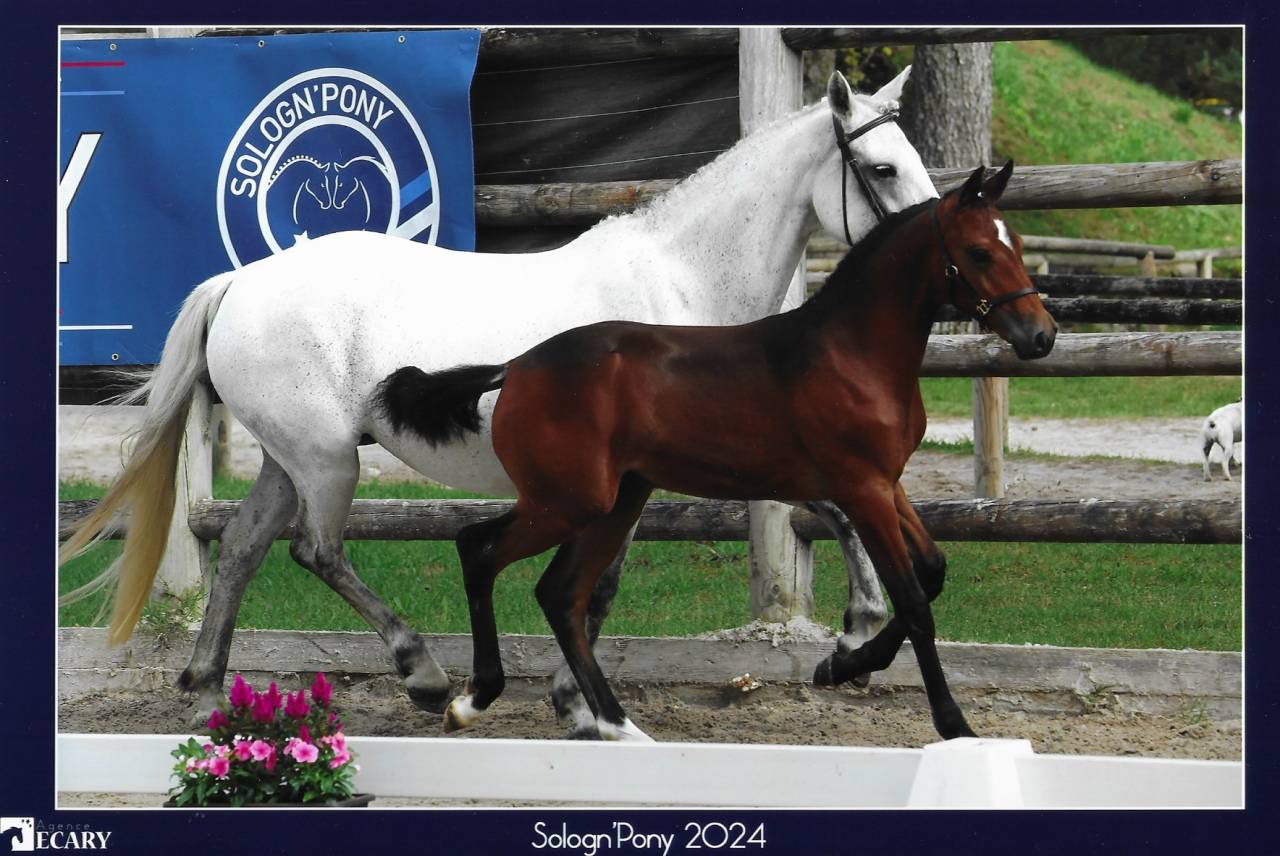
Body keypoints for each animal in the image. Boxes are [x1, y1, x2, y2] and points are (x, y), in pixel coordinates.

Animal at [59, 70, 938, 732]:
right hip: (327, 460)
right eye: (882, 169)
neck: (683, 285)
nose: (937, 262)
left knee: (244, 547)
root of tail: (239, 282)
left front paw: (855, 635)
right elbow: (608, 580)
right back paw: (419, 672)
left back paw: (208, 690)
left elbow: (825, 513)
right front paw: (577, 701)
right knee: (317, 550)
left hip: (291, 456)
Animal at [375, 161, 1058, 741]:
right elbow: (915, 601)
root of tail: (516, 367)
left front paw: (839, 664)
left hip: (615, 502)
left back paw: (617, 725)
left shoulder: (887, 483)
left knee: (559, 594)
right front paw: (953, 724)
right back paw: (473, 700)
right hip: (568, 501)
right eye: (979, 252)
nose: (1041, 336)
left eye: (1019, 244)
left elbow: (934, 571)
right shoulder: (861, 488)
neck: (851, 352)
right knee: (480, 550)